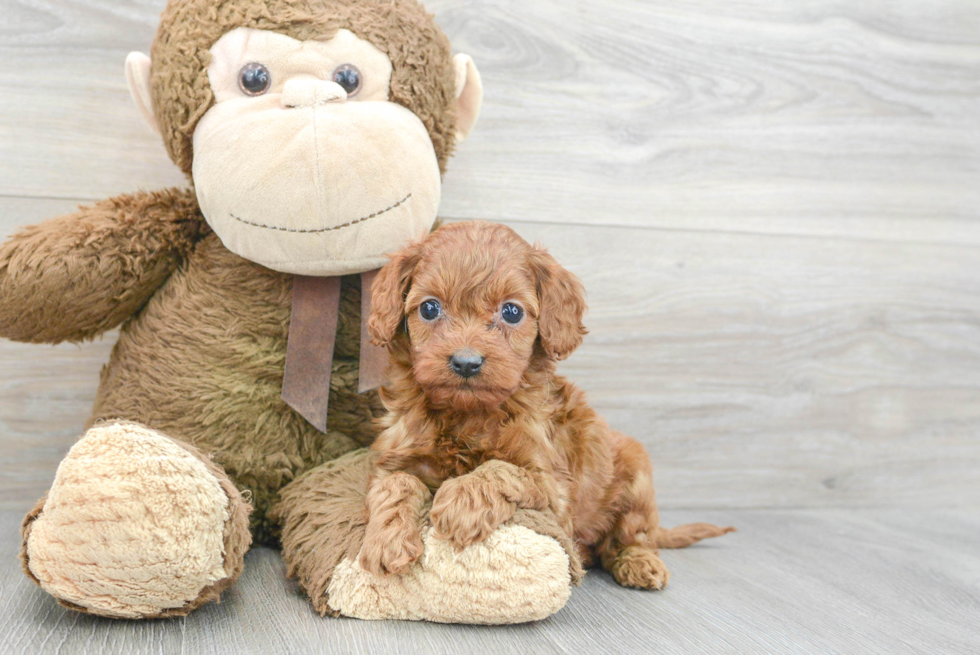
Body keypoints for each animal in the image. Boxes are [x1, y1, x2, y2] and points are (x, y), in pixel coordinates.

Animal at [356, 220, 732, 588]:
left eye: (511, 312)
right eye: (429, 308)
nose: (466, 362)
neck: (467, 413)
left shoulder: (551, 486)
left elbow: (500, 469)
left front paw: (462, 501)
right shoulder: (394, 459)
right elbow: (394, 486)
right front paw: (385, 541)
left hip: (635, 474)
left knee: (631, 537)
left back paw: (639, 562)